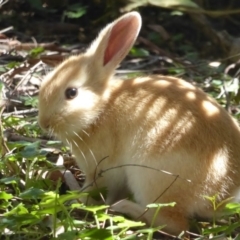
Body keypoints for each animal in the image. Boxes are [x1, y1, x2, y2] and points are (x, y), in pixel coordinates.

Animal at [37, 11, 240, 234]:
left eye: (71, 93)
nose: (44, 123)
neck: (101, 108)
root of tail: (225, 193)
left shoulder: (102, 169)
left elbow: (94, 189)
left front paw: (78, 199)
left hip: (153, 178)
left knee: (173, 222)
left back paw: (124, 207)